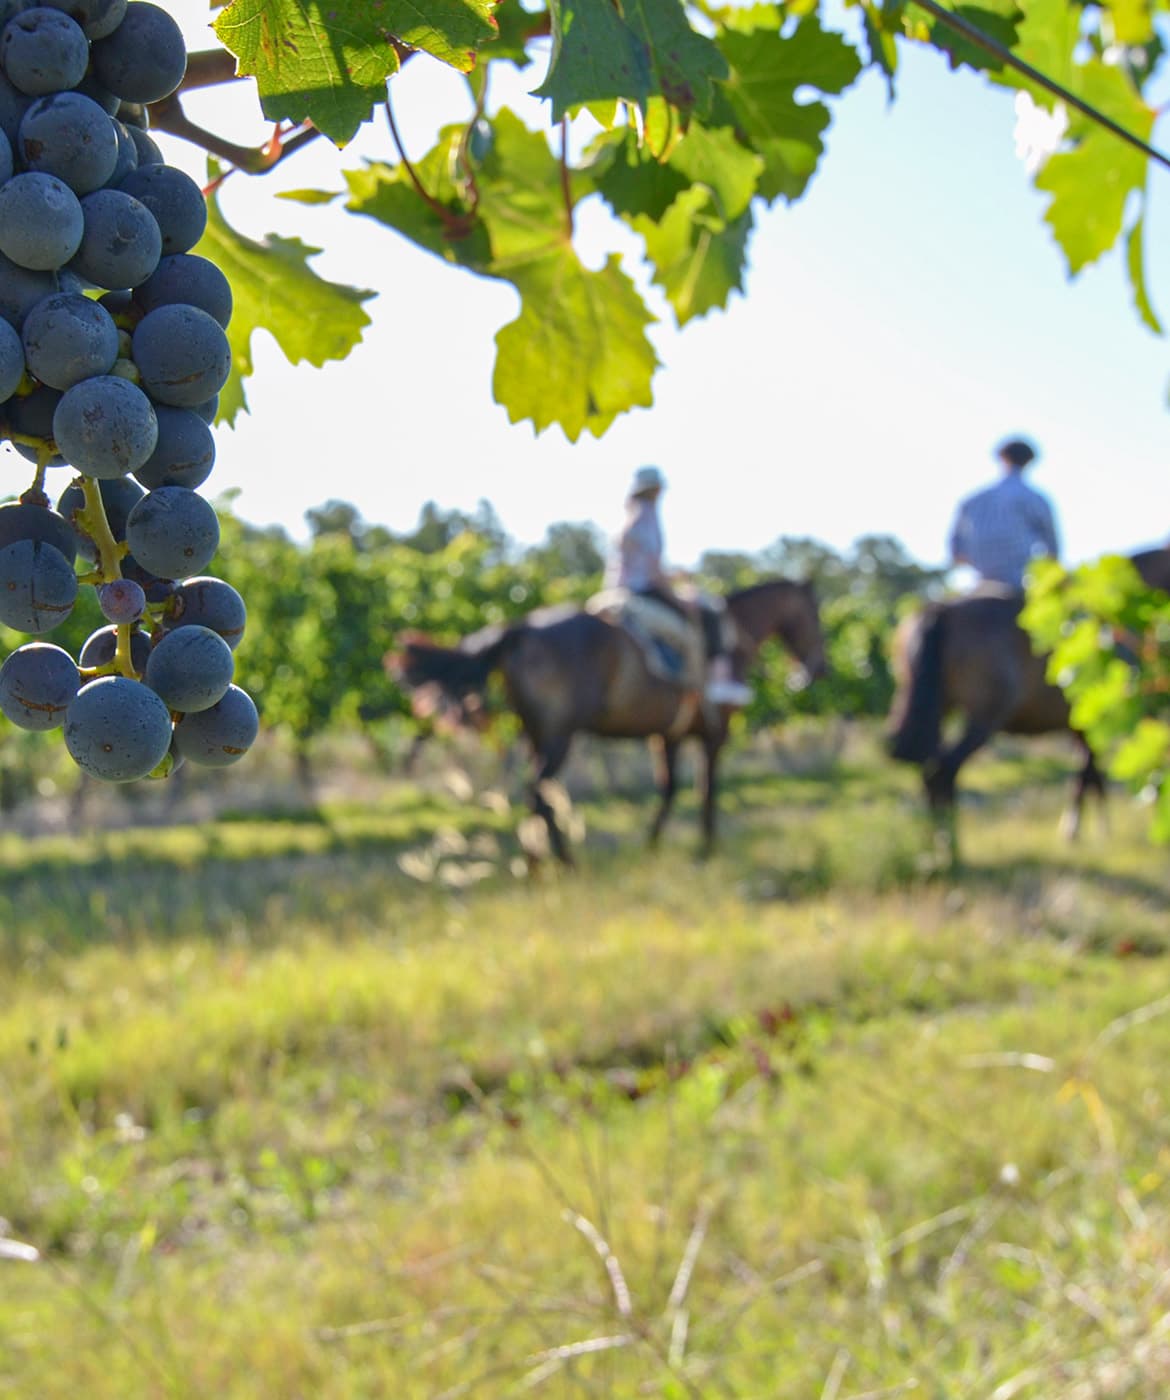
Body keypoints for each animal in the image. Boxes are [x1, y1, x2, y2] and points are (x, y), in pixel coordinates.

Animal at [389, 579, 828, 862]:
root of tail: (521, 628)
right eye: (816, 615)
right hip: (559, 735)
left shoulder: (667, 734)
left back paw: (536, 865)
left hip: (535, 732)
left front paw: (653, 845)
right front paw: (707, 848)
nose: (816, 670)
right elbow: (707, 790)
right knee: (539, 793)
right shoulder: (714, 733)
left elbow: (669, 789)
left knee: (533, 796)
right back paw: (565, 863)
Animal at [884, 543, 1170, 851]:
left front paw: (1094, 829)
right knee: (944, 770)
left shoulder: (1085, 722)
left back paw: (932, 844)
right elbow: (1088, 775)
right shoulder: (1106, 714)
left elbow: (1089, 776)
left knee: (929, 768)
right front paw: (1077, 830)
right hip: (985, 714)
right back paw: (951, 847)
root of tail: (938, 609)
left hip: (932, 706)